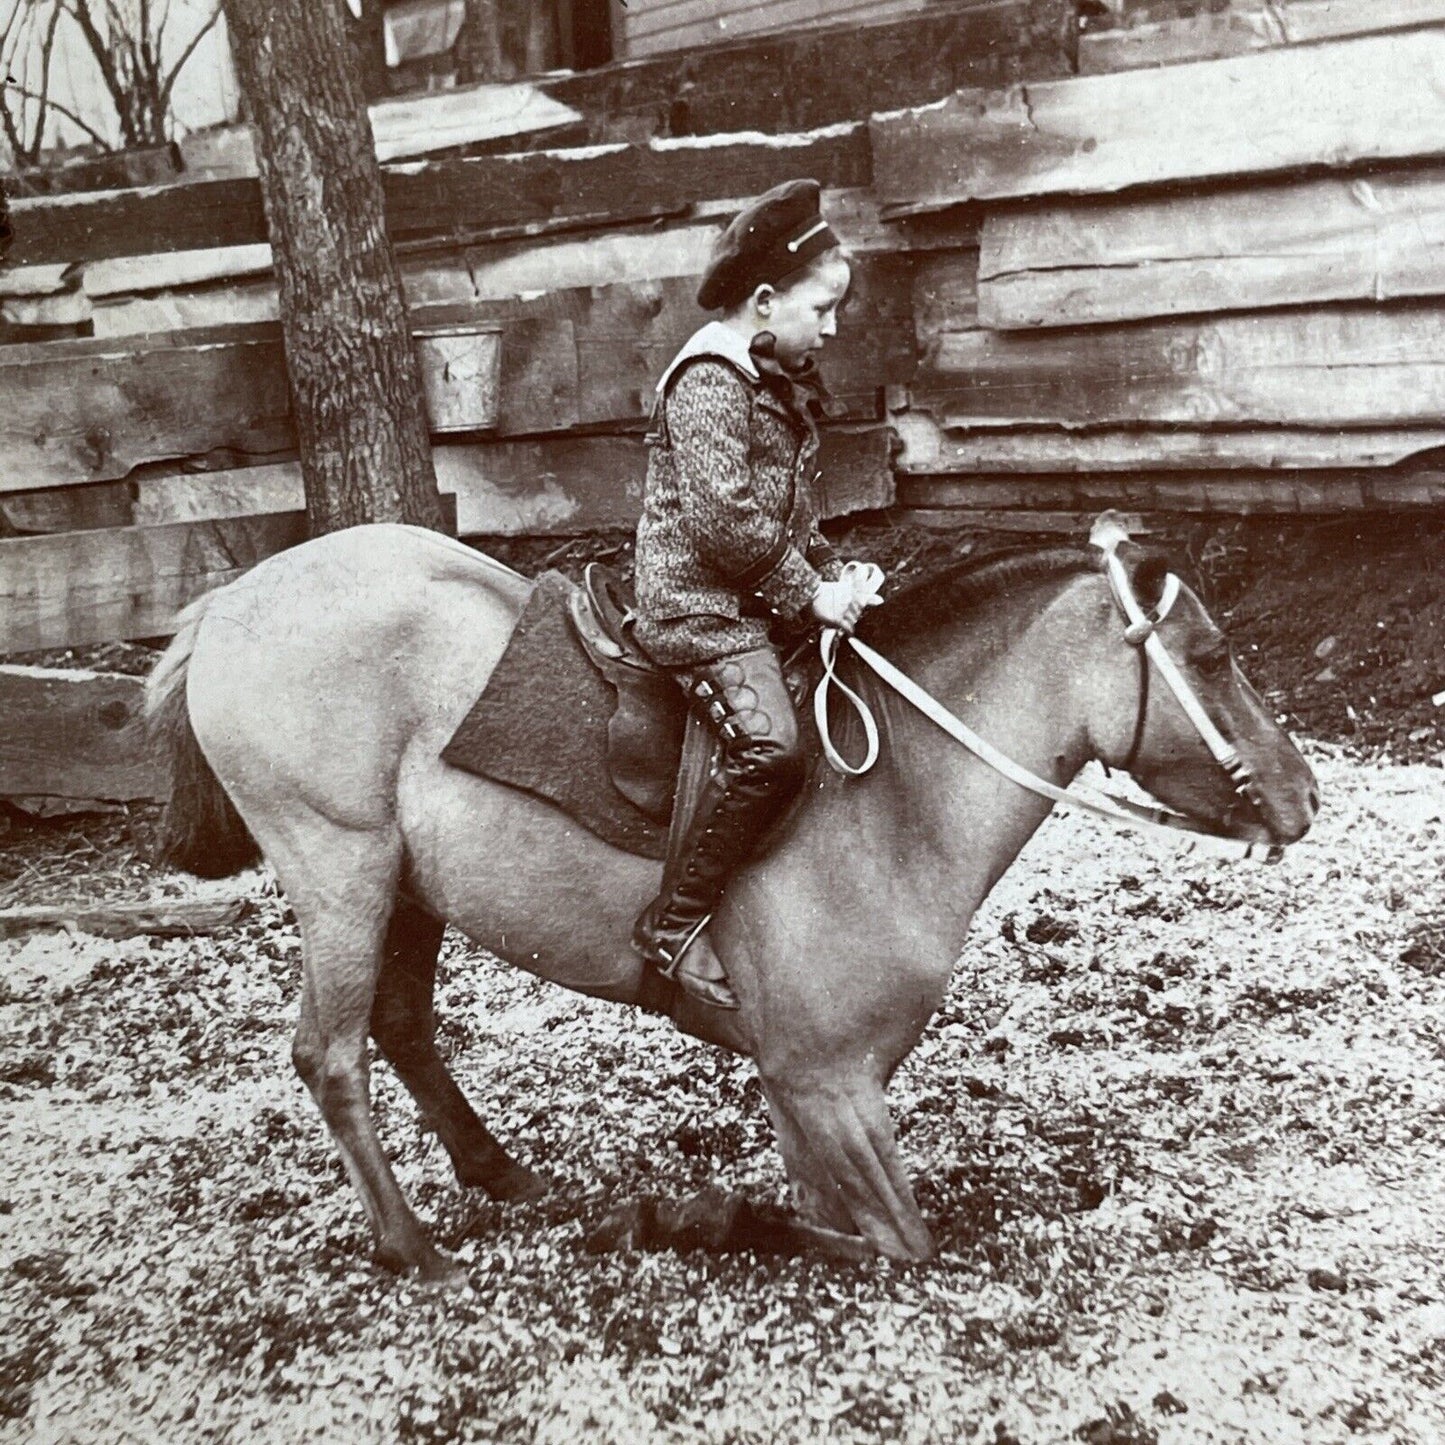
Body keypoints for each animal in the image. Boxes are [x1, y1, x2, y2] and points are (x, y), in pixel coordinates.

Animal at [145, 521, 1318, 1285]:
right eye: (1212, 655)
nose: (1303, 794)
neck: (890, 803)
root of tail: (227, 605)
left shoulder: (805, 1090)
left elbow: (844, 1216)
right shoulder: (823, 1079)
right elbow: (900, 1241)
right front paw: (687, 1216)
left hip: (406, 885)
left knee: (399, 1024)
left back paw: (501, 1174)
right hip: (339, 870)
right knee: (331, 1054)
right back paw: (412, 1247)